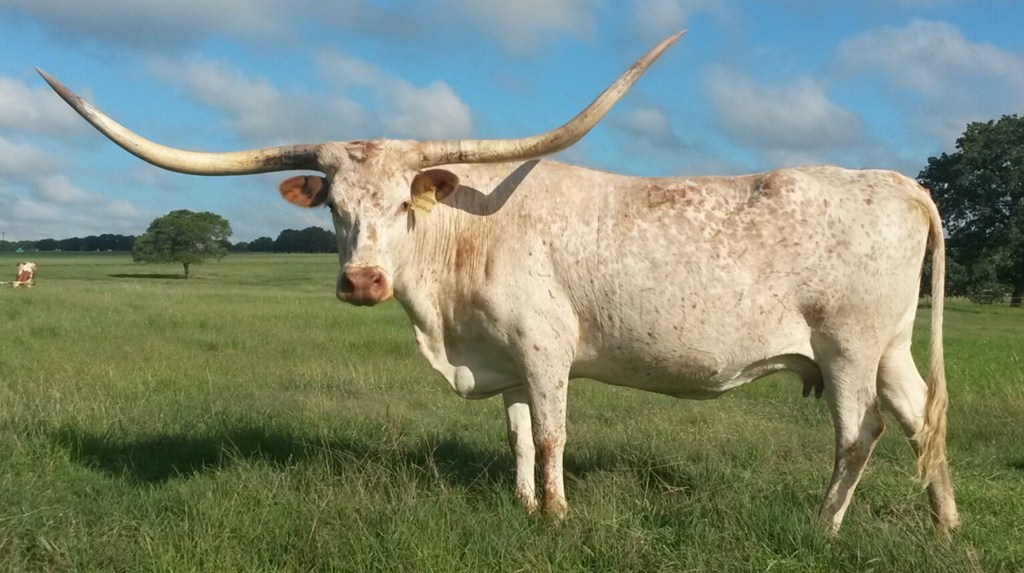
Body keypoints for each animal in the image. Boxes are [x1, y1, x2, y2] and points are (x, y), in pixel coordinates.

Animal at [39, 32, 960, 536]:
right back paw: (945, 525)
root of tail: (899, 183)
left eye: (403, 204)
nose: (362, 281)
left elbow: (551, 435)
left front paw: (555, 516)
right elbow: (516, 435)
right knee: (923, 418)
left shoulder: (546, 351)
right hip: (890, 345)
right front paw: (522, 507)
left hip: (847, 347)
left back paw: (823, 527)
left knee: (861, 432)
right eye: (333, 204)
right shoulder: (506, 359)